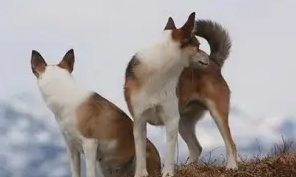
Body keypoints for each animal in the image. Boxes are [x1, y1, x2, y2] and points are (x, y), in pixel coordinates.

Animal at [123, 11, 209, 176]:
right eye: (198, 46)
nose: (208, 58)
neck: (160, 69)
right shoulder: (139, 120)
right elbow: (140, 153)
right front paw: (140, 174)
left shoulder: (172, 119)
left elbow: (169, 152)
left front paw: (168, 173)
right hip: (184, 123)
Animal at [178, 19, 238, 169]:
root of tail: (213, 62)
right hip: (182, 122)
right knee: (196, 147)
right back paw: (189, 167)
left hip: (218, 115)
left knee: (231, 144)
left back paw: (231, 167)